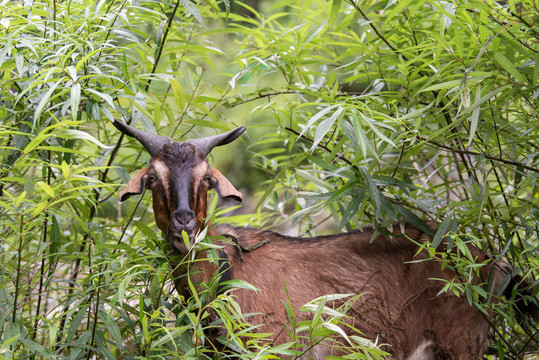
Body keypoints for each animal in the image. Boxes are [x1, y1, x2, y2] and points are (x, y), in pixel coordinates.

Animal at [113, 121, 536, 360]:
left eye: (205, 179)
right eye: (152, 179)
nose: (184, 221)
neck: (229, 270)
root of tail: (492, 263)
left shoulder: (275, 346)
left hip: (460, 343)